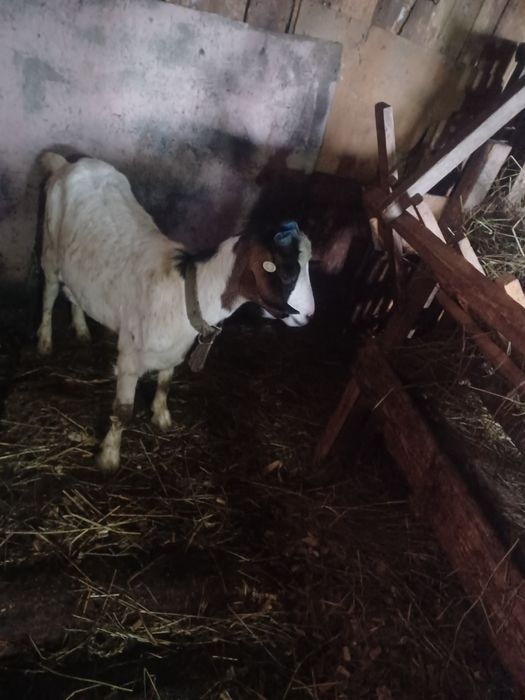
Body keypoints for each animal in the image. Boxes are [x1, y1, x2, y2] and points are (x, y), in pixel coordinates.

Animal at [37, 153, 315, 470]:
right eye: (286, 272)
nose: (309, 315)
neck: (186, 290)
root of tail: (67, 164)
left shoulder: (174, 350)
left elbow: (165, 383)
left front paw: (161, 417)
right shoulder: (130, 357)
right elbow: (123, 411)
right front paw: (108, 457)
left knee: (74, 294)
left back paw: (82, 330)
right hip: (49, 252)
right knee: (49, 295)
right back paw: (44, 342)